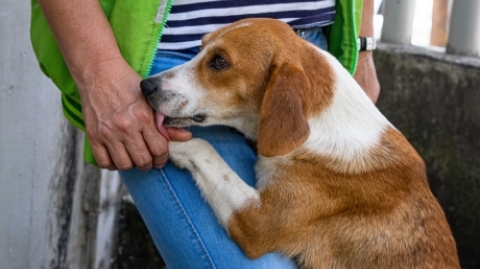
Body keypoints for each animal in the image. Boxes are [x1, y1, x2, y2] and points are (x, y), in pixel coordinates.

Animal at [141, 17, 460, 266]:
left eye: (219, 62)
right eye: (199, 48)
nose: (145, 85)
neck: (316, 124)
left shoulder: (257, 224)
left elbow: (204, 148)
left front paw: (165, 142)